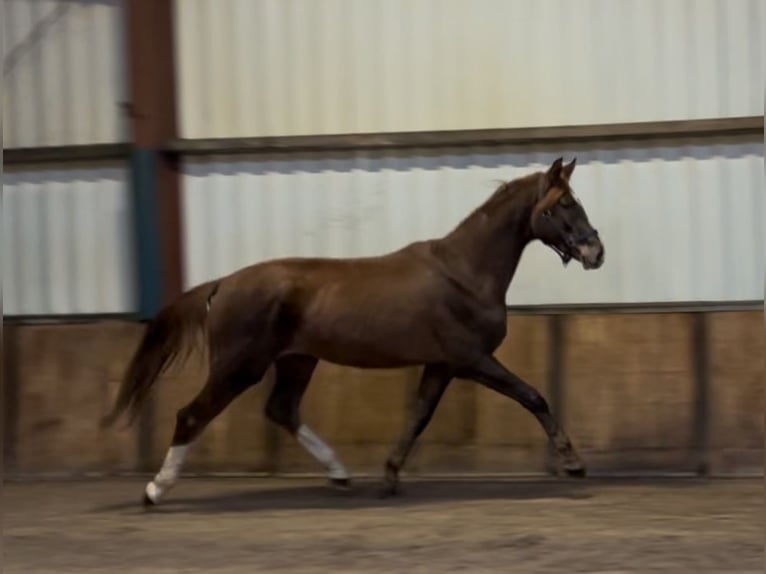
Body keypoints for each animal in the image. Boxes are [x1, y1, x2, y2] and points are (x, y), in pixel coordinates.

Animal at [102, 155, 608, 506]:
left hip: (297, 361)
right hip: (238, 367)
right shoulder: (472, 360)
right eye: (565, 204)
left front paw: (388, 477)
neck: (463, 272)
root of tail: (222, 283)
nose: (596, 252)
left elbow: (418, 417)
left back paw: (340, 475)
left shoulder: (441, 365)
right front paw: (573, 464)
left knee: (281, 409)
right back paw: (154, 491)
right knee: (191, 415)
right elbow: (533, 396)